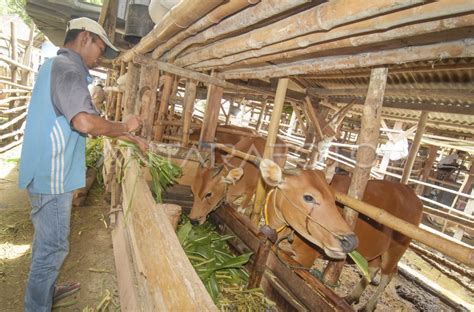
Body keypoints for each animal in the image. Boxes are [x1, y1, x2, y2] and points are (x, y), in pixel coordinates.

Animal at [260, 161, 422, 312]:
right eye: (308, 197)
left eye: (334, 198)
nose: (351, 241)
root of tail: (412, 193)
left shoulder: (305, 258)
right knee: (372, 269)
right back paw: (351, 297)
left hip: (396, 249)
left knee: (388, 275)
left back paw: (368, 306)